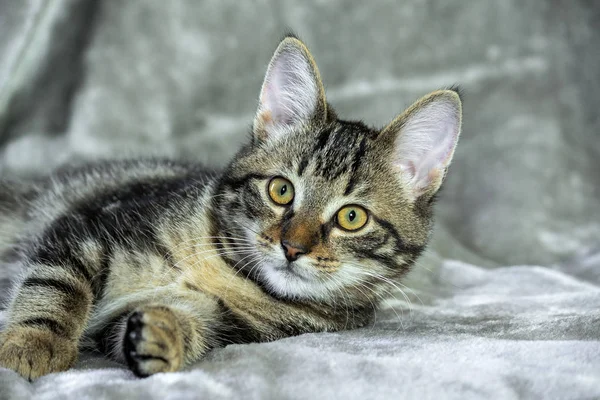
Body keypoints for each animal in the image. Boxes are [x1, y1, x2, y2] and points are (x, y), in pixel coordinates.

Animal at [0, 34, 464, 378]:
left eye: (352, 217)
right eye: (281, 191)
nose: (292, 248)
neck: (231, 272)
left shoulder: (232, 326)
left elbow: (175, 327)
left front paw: (168, 333)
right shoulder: (89, 224)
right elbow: (55, 287)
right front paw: (33, 344)